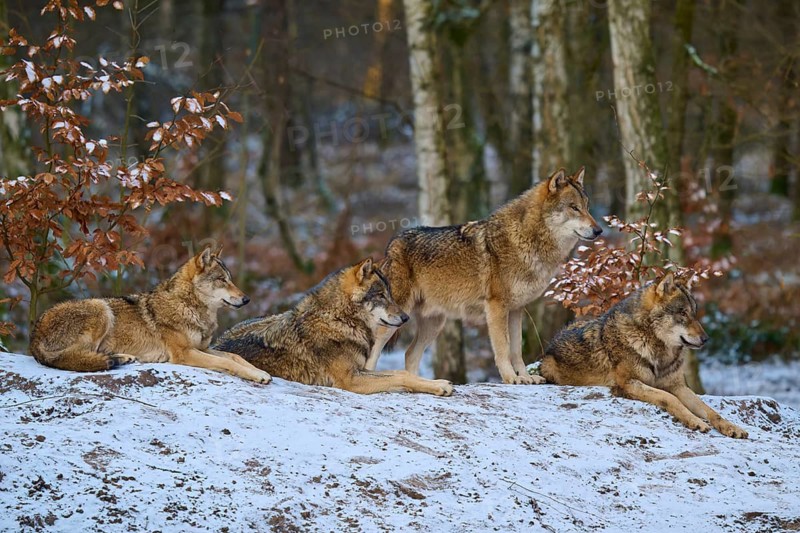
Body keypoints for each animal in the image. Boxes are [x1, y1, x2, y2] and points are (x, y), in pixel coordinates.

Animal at [29, 245, 272, 384]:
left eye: (230, 279)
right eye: (222, 280)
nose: (247, 299)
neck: (189, 306)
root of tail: (34, 338)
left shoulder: (201, 348)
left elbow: (234, 356)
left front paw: (259, 371)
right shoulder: (184, 353)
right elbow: (227, 362)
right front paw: (256, 375)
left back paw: (122, 358)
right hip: (101, 308)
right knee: (75, 358)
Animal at [213, 257, 454, 396]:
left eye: (391, 295)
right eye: (381, 296)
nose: (405, 318)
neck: (341, 319)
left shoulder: (361, 369)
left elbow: (400, 372)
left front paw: (437, 381)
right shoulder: (351, 380)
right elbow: (401, 377)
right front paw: (439, 387)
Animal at [365, 167, 602, 384]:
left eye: (587, 207)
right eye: (574, 208)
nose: (599, 230)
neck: (527, 240)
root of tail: (391, 246)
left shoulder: (516, 310)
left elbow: (516, 349)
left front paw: (526, 377)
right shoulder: (496, 307)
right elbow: (503, 348)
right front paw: (510, 378)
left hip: (434, 324)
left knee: (410, 354)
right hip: (394, 319)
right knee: (374, 351)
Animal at [540, 273, 748, 438]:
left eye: (694, 313)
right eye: (682, 312)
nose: (706, 339)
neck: (659, 351)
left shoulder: (678, 386)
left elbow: (709, 410)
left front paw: (731, 427)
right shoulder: (628, 384)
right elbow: (669, 398)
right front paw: (695, 421)